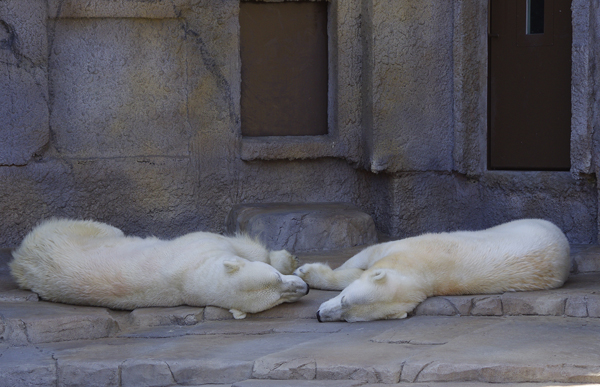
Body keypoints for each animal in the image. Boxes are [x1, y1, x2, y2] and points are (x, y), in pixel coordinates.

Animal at [10, 220, 310, 320]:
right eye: (277, 294)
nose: (305, 289)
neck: (189, 278)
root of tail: (20, 260)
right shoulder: (200, 245)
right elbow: (244, 247)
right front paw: (287, 258)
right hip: (75, 231)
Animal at [296, 220, 572, 322]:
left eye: (348, 316)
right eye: (344, 299)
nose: (319, 315)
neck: (421, 271)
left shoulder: (407, 251)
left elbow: (360, 264)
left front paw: (307, 272)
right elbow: (364, 257)